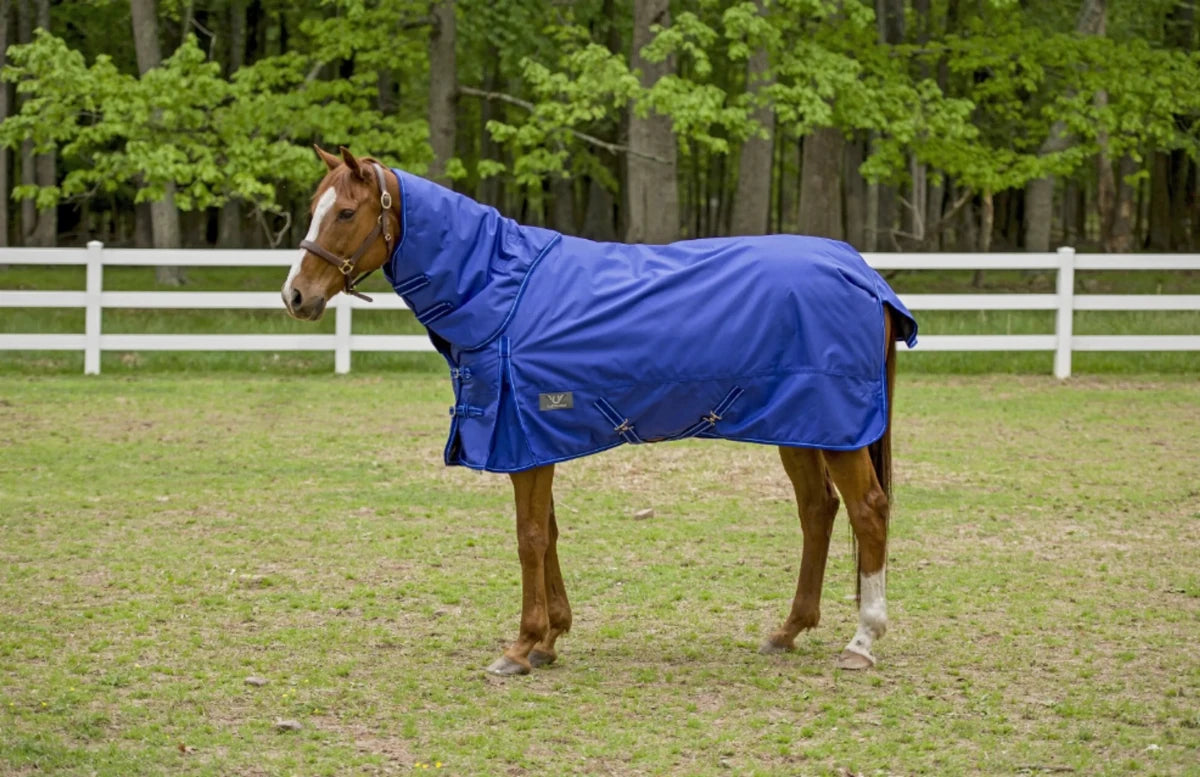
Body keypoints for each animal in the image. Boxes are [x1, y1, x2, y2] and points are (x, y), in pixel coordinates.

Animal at [282, 146, 917, 676]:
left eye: (345, 213)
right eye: (315, 209)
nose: (295, 295)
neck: (500, 290)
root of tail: (864, 274)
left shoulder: (523, 435)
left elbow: (529, 537)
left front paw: (521, 646)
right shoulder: (534, 441)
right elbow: (549, 532)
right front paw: (549, 639)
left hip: (835, 428)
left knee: (867, 510)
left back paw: (862, 642)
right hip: (802, 426)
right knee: (818, 510)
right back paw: (788, 631)